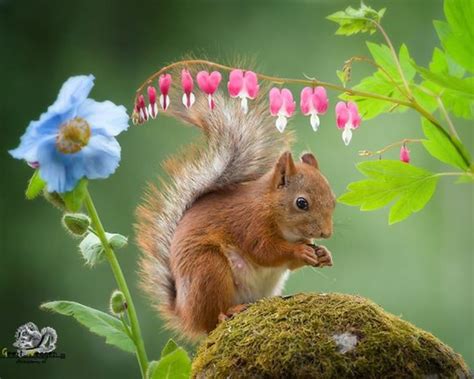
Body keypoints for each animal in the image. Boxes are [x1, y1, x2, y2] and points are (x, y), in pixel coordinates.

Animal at [137, 67, 336, 340]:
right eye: (302, 203)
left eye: (333, 200)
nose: (326, 233)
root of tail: (186, 314)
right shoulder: (249, 224)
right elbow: (265, 251)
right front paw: (299, 251)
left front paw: (323, 253)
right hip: (208, 269)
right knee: (213, 318)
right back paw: (228, 312)